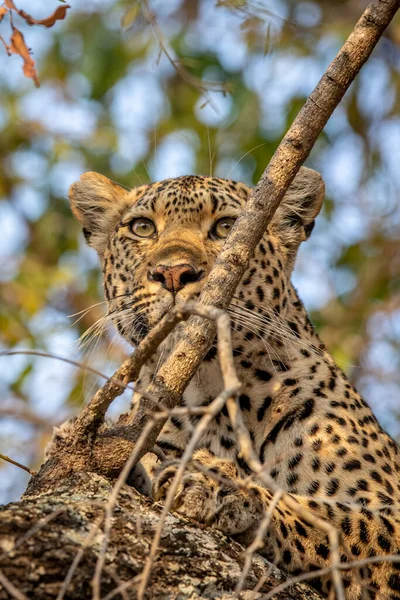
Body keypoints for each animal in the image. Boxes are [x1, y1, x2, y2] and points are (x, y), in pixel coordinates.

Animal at [70, 169, 400, 600]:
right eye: (142, 228)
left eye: (227, 227)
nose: (173, 273)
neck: (213, 389)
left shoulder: (389, 511)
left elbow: (330, 517)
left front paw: (221, 487)